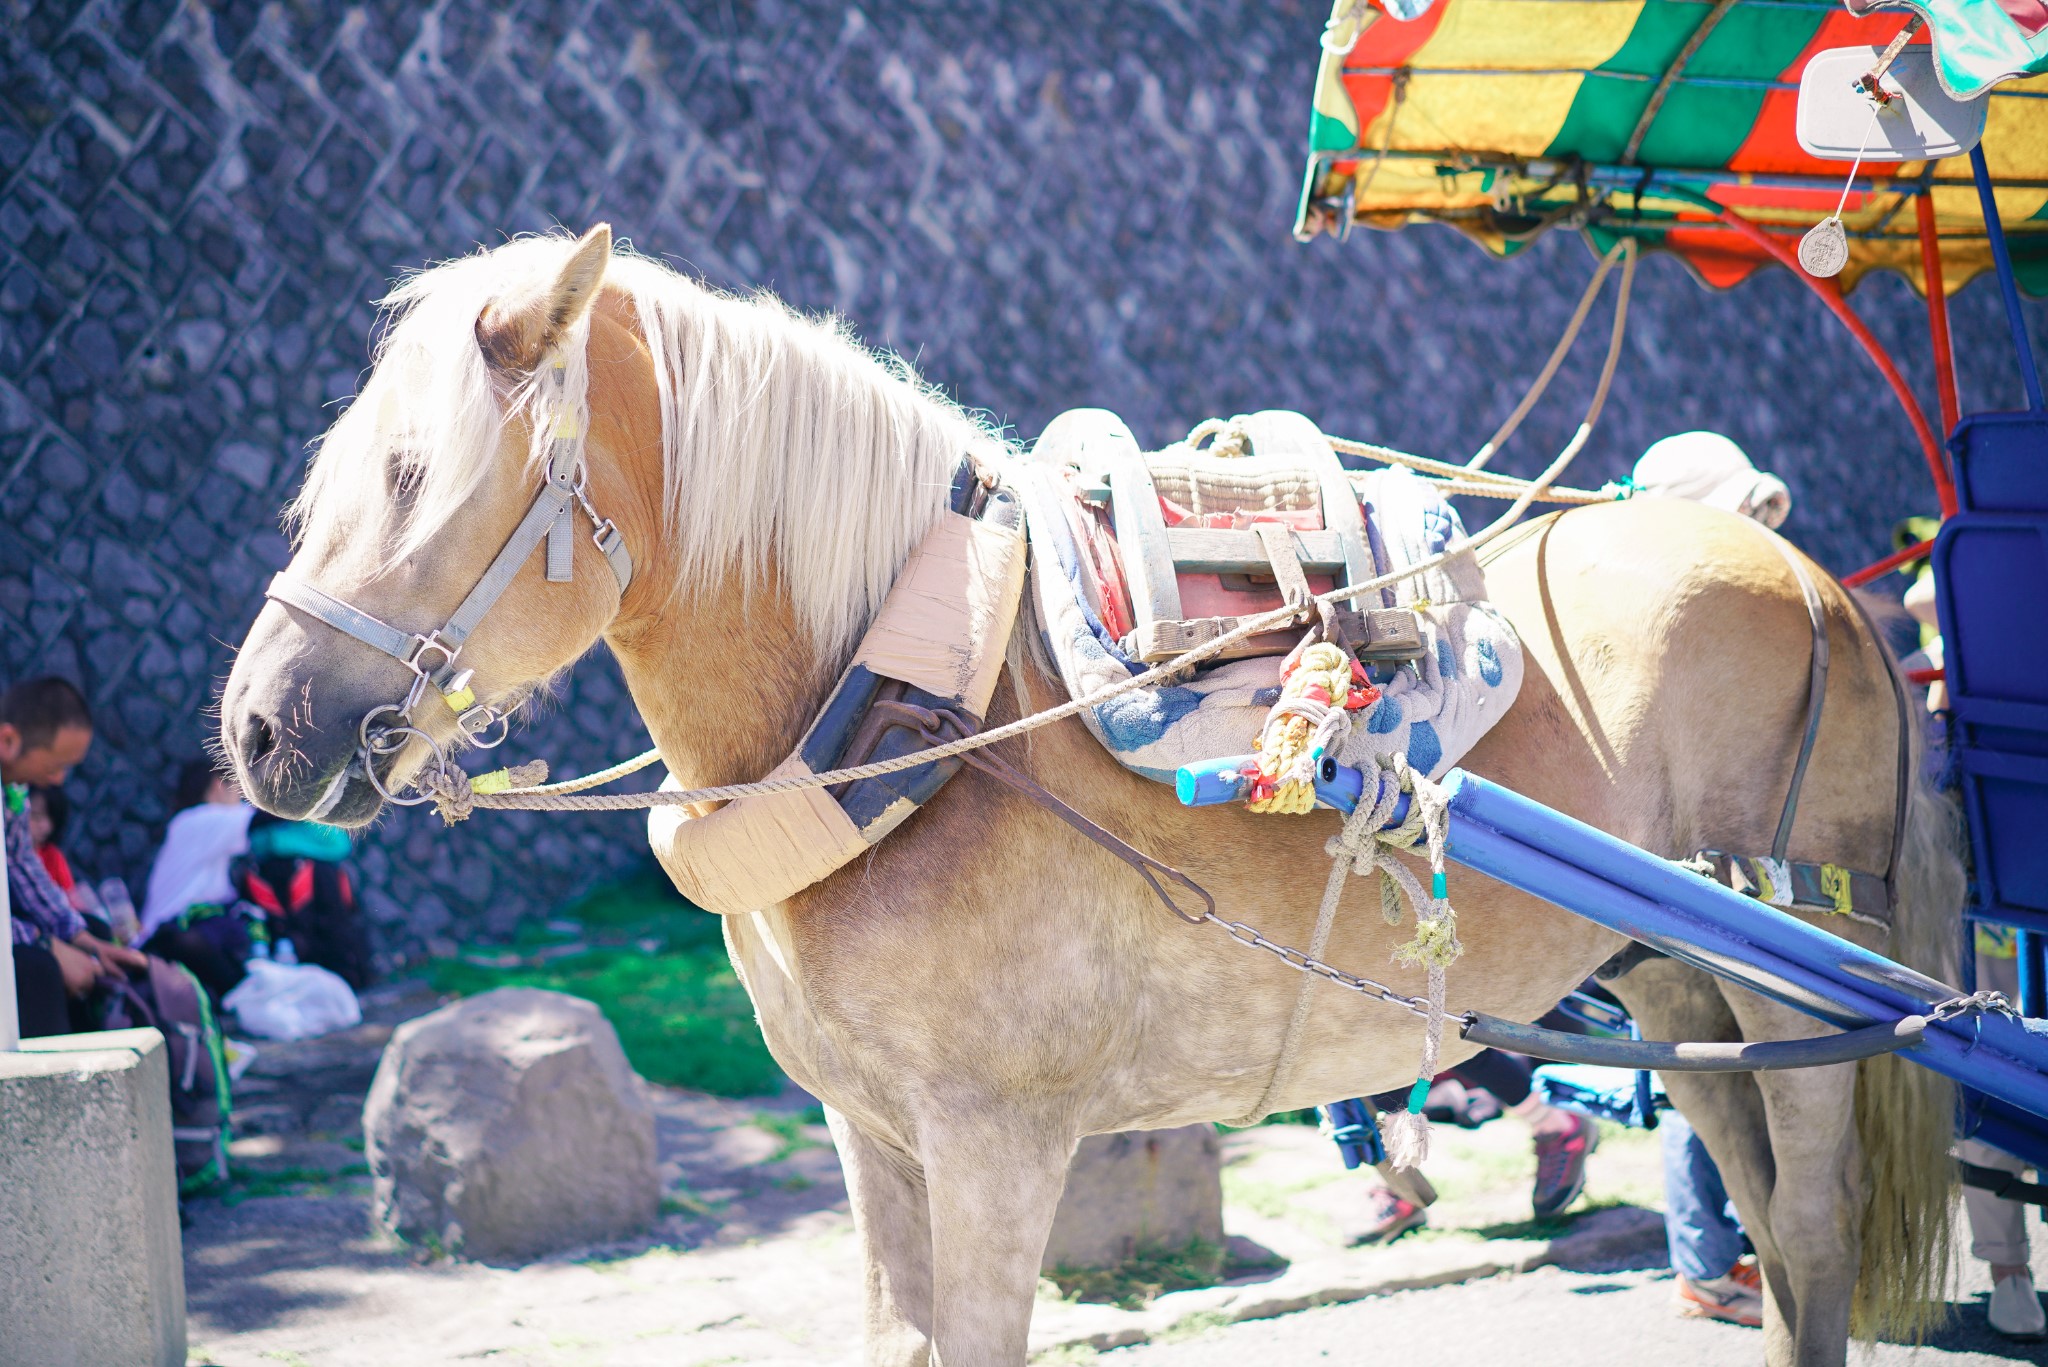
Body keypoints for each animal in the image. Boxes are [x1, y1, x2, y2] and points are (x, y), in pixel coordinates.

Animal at [216, 229, 1957, 1360]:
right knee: (1762, 1218)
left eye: (415, 480)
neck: (901, 706)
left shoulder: (996, 1139)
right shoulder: (870, 1131)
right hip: (1678, 981)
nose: (257, 729)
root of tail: (1819, 577)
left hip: (1802, 977)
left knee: (1811, 1224)